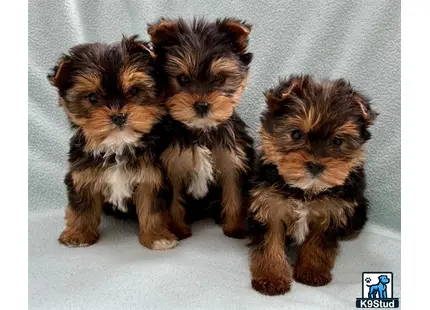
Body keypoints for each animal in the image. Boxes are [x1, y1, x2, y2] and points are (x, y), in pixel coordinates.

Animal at [48, 36, 178, 251]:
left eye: (133, 90)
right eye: (92, 97)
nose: (118, 116)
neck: (117, 146)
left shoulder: (151, 177)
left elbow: (152, 209)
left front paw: (157, 237)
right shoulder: (82, 174)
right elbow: (81, 206)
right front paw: (78, 235)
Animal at [148, 18, 255, 239]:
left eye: (220, 79)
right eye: (182, 79)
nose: (202, 105)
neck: (202, 130)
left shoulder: (232, 159)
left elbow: (234, 193)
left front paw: (234, 228)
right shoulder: (172, 164)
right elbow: (174, 201)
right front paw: (178, 230)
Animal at [249, 75, 376, 296]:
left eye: (337, 141)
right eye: (296, 134)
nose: (316, 165)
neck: (306, 190)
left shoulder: (332, 211)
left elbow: (318, 242)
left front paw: (312, 270)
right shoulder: (269, 204)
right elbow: (270, 241)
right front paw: (271, 276)